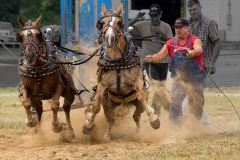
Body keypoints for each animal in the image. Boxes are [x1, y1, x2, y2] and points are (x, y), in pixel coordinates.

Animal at [81, 3, 160, 141]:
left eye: (119, 22)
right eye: (103, 23)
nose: (109, 39)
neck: (116, 62)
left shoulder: (137, 81)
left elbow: (140, 96)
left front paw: (154, 119)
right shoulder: (102, 86)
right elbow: (95, 106)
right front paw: (88, 125)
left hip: (138, 105)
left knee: (136, 116)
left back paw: (139, 133)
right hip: (108, 104)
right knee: (111, 120)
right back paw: (106, 136)